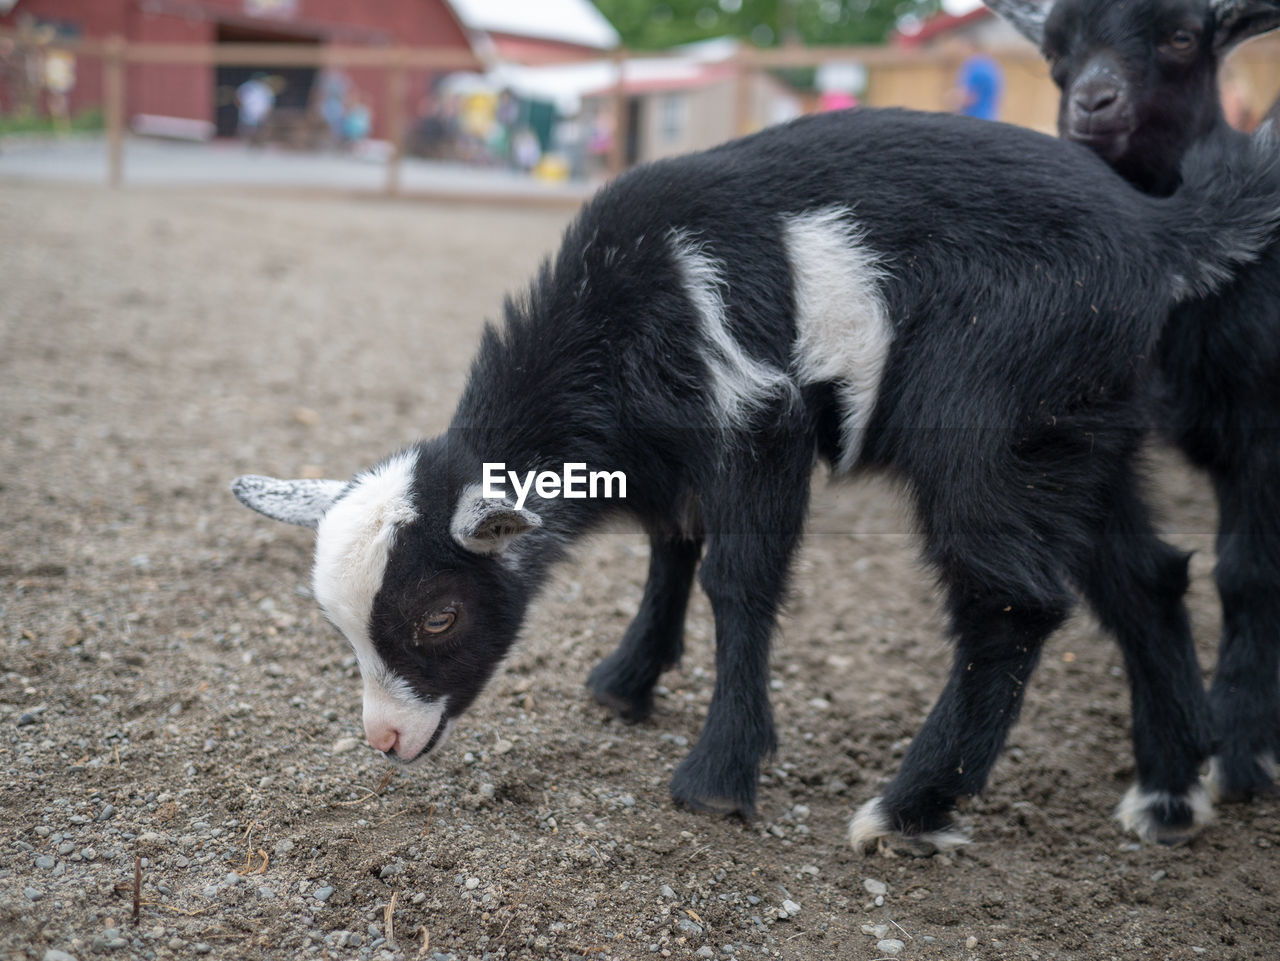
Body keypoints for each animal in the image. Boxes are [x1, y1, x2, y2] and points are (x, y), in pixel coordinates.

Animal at [988, 0, 1280, 803]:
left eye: (1183, 37)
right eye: (1053, 52)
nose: (1093, 103)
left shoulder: (1263, 425)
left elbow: (1249, 572)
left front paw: (1241, 752)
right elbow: (1133, 578)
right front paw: (1172, 770)